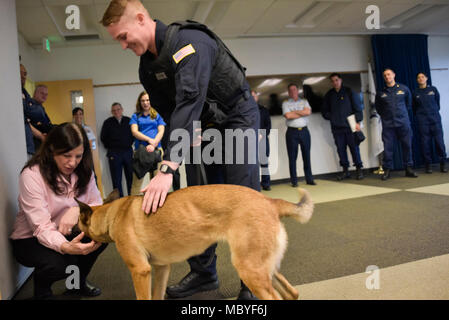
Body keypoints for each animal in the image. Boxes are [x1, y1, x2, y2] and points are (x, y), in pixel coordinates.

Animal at [75, 184, 314, 298]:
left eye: (78, 223)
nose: (72, 232)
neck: (112, 213)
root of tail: (269, 201)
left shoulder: (140, 271)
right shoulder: (161, 269)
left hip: (250, 268)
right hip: (264, 268)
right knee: (292, 293)